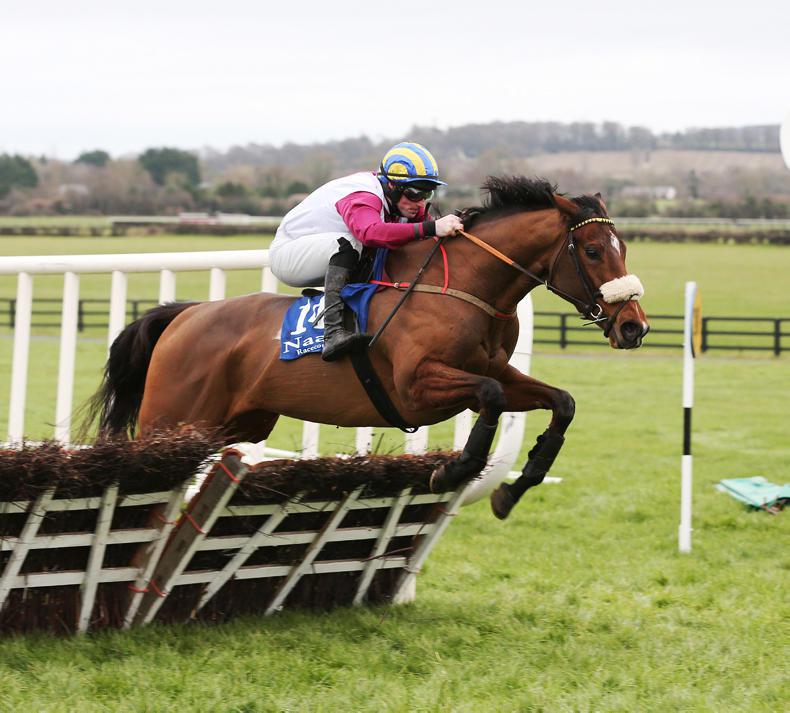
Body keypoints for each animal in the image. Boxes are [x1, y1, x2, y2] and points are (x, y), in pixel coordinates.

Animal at [88, 176, 649, 520]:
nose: (634, 328)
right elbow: (487, 395)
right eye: (592, 250)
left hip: (234, 423)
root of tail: (184, 316)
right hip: (172, 417)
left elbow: (561, 402)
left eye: (623, 248)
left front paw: (514, 486)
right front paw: (453, 469)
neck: (460, 286)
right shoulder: (416, 387)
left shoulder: (500, 373)